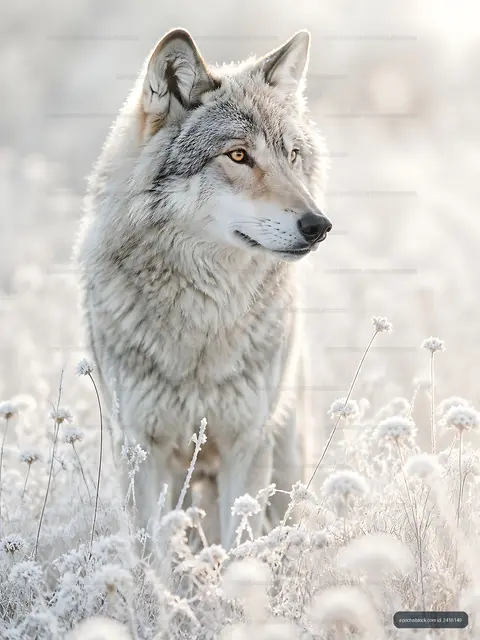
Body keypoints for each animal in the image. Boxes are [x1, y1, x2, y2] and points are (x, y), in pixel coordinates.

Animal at [76, 27, 332, 552]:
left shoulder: (245, 446)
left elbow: (240, 551)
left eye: (292, 155)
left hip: (284, 457)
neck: (204, 321)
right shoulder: (140, 451)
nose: (318, 226)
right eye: (238, 155)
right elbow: (153, 558)